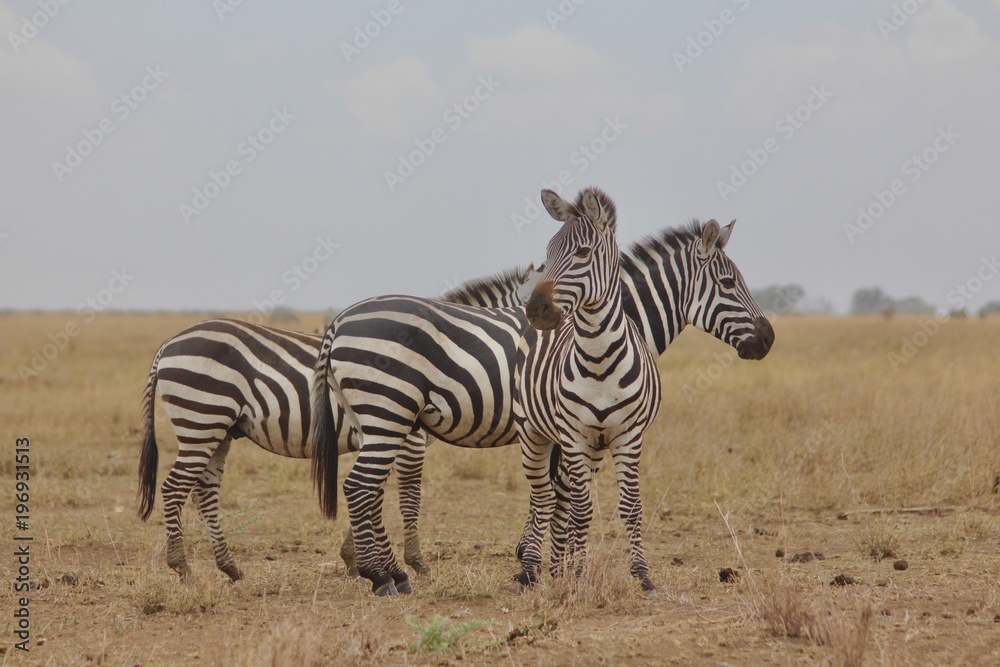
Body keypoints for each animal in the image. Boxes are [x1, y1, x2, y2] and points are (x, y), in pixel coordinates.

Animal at [136, 266, 538, 581]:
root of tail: (167, 345)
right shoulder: (410, 437)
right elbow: (407, 497)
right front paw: (413, 563)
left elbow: (376, 492)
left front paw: (356, 558)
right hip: (201, 419)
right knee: (174, 488)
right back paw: (182, 568)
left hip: (219, 430)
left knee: (204, 491)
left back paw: (229, 567)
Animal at [514, 187, 662, 593]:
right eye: (548, 251)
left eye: (582, 252)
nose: (537, 310)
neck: (598, 361)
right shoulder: (574, 434)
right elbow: (580, 508)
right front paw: (577, 574)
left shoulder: (628, 435)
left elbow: (630, 506)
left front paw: (642, 574)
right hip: (532, 433)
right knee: (543, 497)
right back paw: (530, 569)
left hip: (592, 446)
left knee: (559, 497)